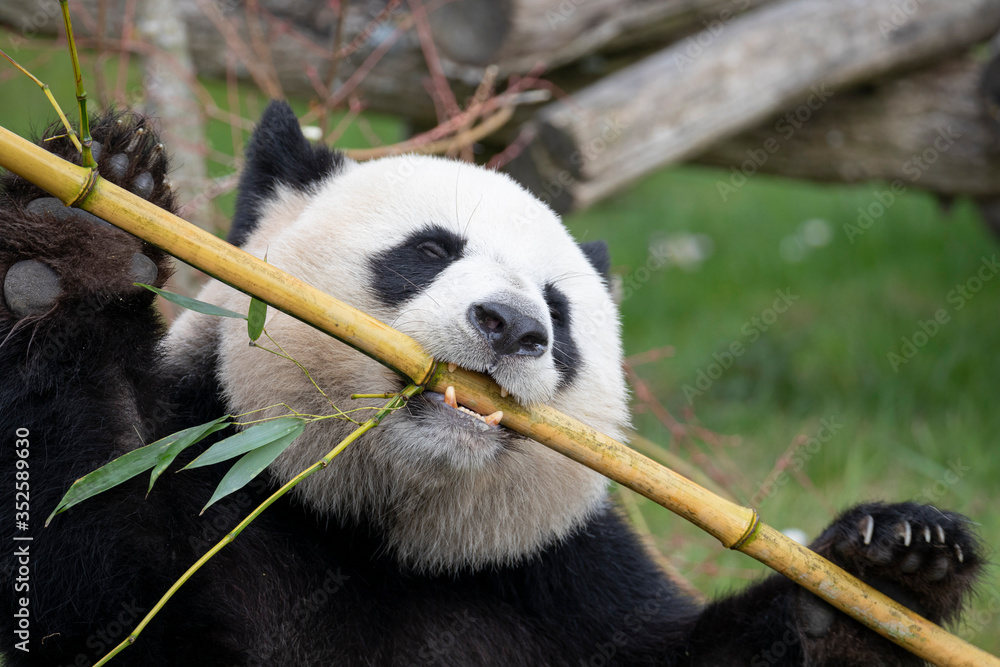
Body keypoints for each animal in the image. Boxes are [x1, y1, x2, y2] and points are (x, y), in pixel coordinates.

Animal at [0, 101, 983, 666]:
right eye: (431, 250)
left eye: (560, 310)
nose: (512, 327)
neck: (377, 531)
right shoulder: (206, 473)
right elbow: (84, 593)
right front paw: (81, 235)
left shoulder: (555, 578)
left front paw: (889, 574)